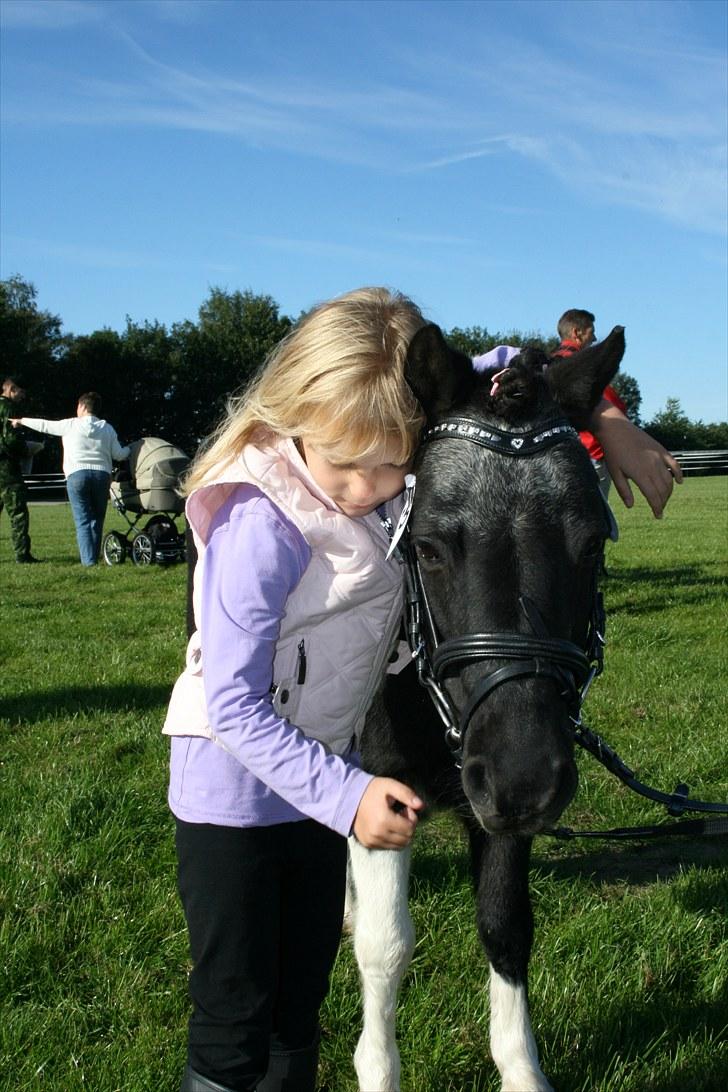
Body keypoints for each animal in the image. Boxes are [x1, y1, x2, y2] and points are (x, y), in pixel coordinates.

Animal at [349, 323, 628, 1092]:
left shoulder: (499, 808)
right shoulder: (382, 788)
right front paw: (376, 1066)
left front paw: (521, 1069)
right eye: (427, 548)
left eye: (592, 543)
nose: (524, 777)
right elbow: (387, 946)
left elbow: (506, 927)